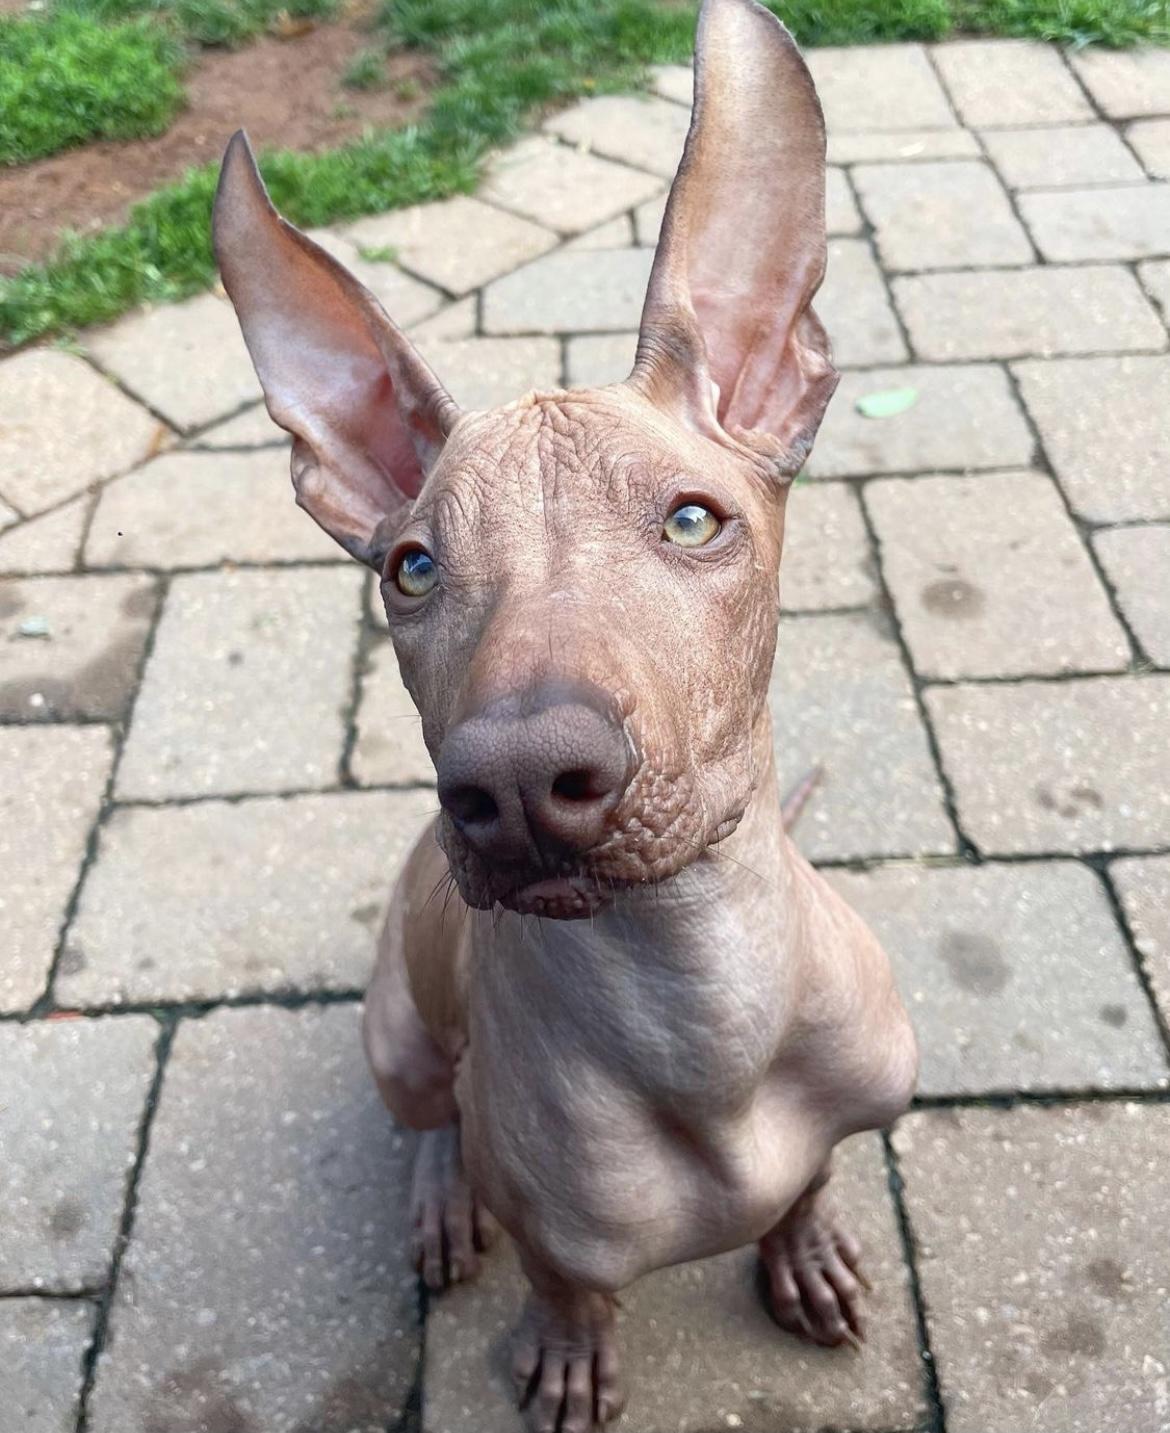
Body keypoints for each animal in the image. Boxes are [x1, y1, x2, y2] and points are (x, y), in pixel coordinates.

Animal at [214, 1, 917, 1427]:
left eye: (693, 519)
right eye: (410, 567)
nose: (519, 783)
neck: (704, 1009)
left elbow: (813, 1173)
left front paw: (804, 1242)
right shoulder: (560, 1226)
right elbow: (572, 1281)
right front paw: (571, 1352)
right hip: (398, 1024)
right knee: (431, 1121)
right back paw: (441, 1206)